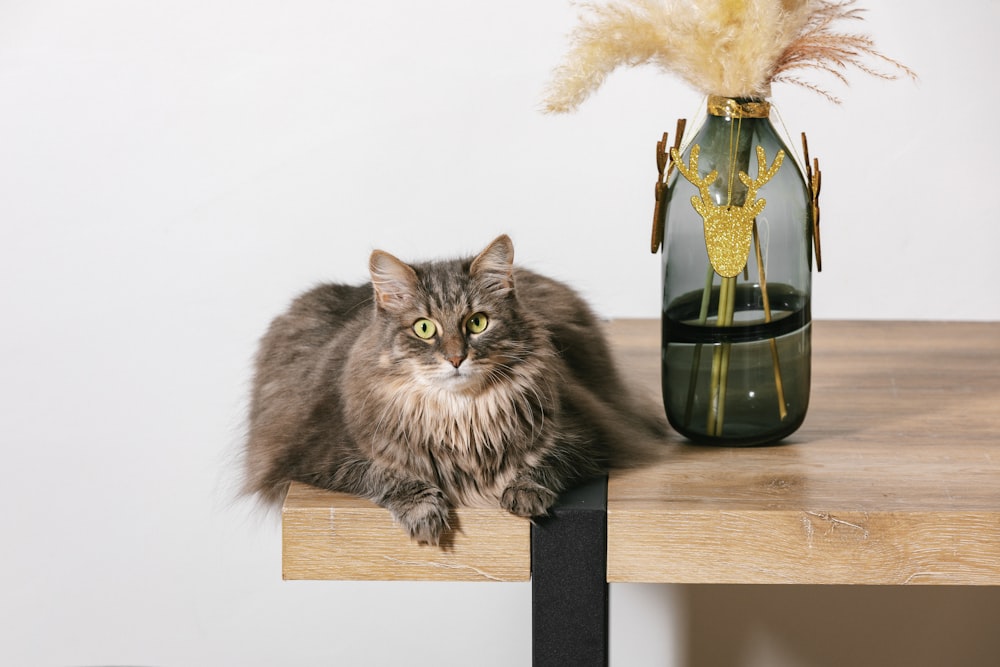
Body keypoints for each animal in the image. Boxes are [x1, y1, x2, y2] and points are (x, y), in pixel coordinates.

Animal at [243, 235, 664, 544]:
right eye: (424, 328)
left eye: (477, 323)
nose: (456, 358)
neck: (462, 415)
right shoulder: (318, 455)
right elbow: (388, 474)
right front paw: (425, 514)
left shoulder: (589, 436)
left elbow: (546, 463)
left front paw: (525, 493)